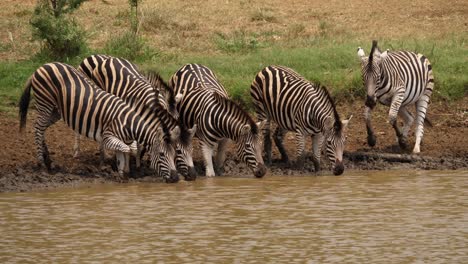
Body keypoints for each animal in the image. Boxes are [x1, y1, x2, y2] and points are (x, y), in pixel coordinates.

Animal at [18, 62, 180, 182]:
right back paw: (41, 162)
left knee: (42, 128)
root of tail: (43, 66)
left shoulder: (121, 139)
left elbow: (127, 150)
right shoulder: (108, 136)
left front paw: (122, 173)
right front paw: (121, 170)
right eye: (161, 155)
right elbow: (126, 149)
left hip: (56, 110)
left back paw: (48, 160)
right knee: (38, 128)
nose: (176, 178)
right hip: (45, 103)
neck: (128, 123)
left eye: (173, 154)